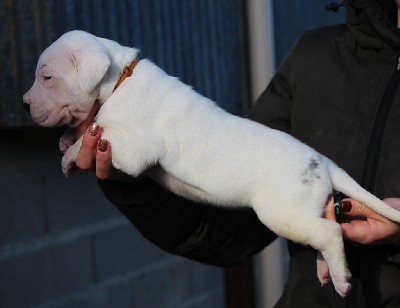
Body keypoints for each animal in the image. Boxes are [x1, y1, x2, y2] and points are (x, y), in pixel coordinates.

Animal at [23, 30, 400, 296]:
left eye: (47, 77)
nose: (24, 103)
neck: (119, 80)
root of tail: (321, 161)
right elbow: (85, 128)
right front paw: (67, 139)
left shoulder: (130, 146)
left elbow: (97, 136)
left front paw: (69, 156)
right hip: (307, 211)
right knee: (322, 235)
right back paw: (327, 270)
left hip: (283, 214)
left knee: (331, 233)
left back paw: (341, 279)